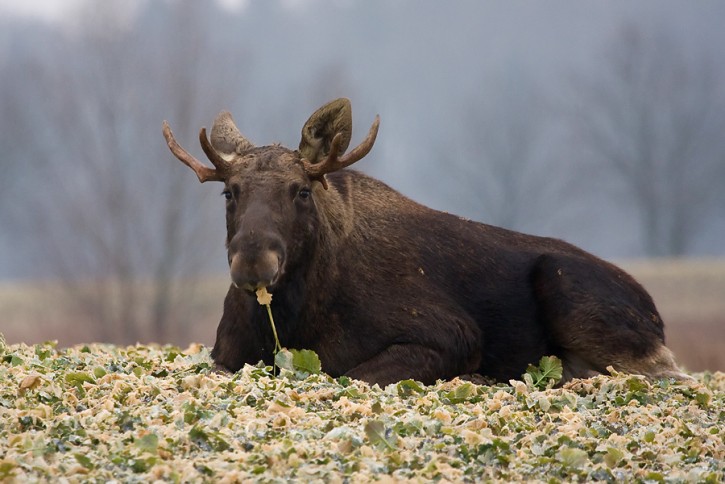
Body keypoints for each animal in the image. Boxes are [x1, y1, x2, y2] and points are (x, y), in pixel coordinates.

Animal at [161, 97, 688, 386]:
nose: (254, 261)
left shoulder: (452, 334)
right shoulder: (224, 356)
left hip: (571, 292)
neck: (294, 317)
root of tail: (656, 314)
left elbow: (352, 373)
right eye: (230, 192)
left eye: (302, 191)